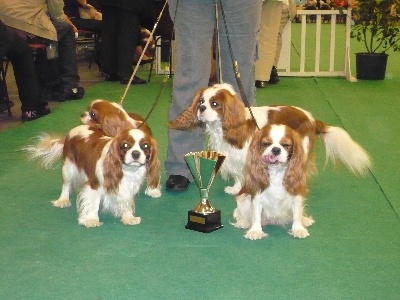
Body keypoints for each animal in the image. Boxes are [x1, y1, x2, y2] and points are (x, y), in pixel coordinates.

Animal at [23, 125, 160, 226]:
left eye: (145, 146)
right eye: (125, 145)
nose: (136, 153)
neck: (126, 170)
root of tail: (71, 132)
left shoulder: (127, 187)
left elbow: (125, 201)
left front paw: (128, 217)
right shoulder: (94, 184)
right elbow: (93, 203)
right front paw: (91, 220)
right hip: (68, 168)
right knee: (66, 185)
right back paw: (63, 200)